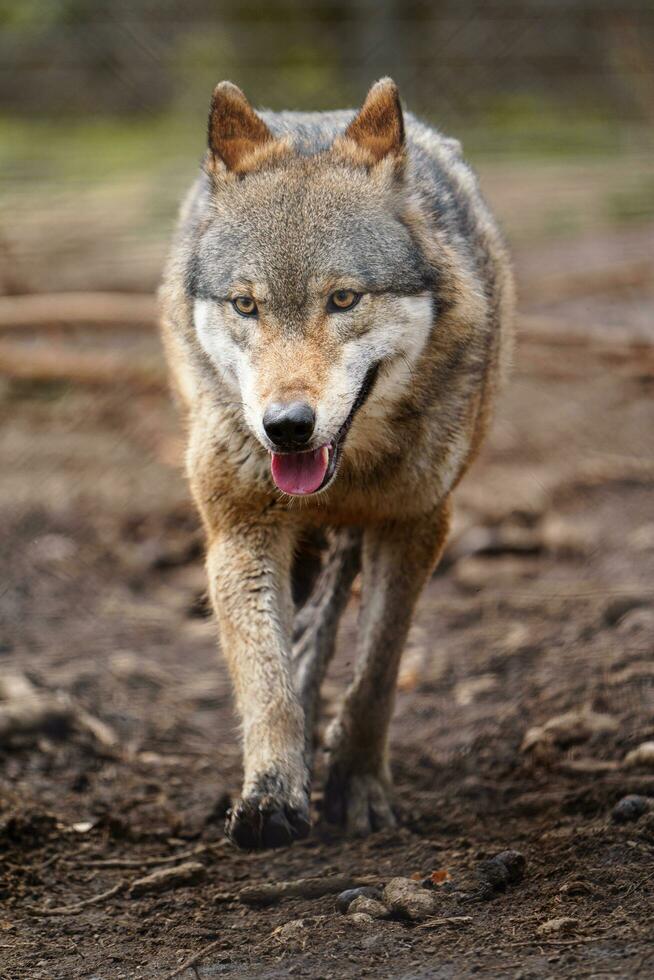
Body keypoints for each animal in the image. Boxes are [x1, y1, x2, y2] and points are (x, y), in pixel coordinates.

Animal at [160, 76, 516, 848]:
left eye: (344, 298)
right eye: (246, 305)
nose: (287, 429)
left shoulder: (417, 525)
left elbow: (378, 670)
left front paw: (357, 783)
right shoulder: (239, 530)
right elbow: (264, 682)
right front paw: (271, 793)